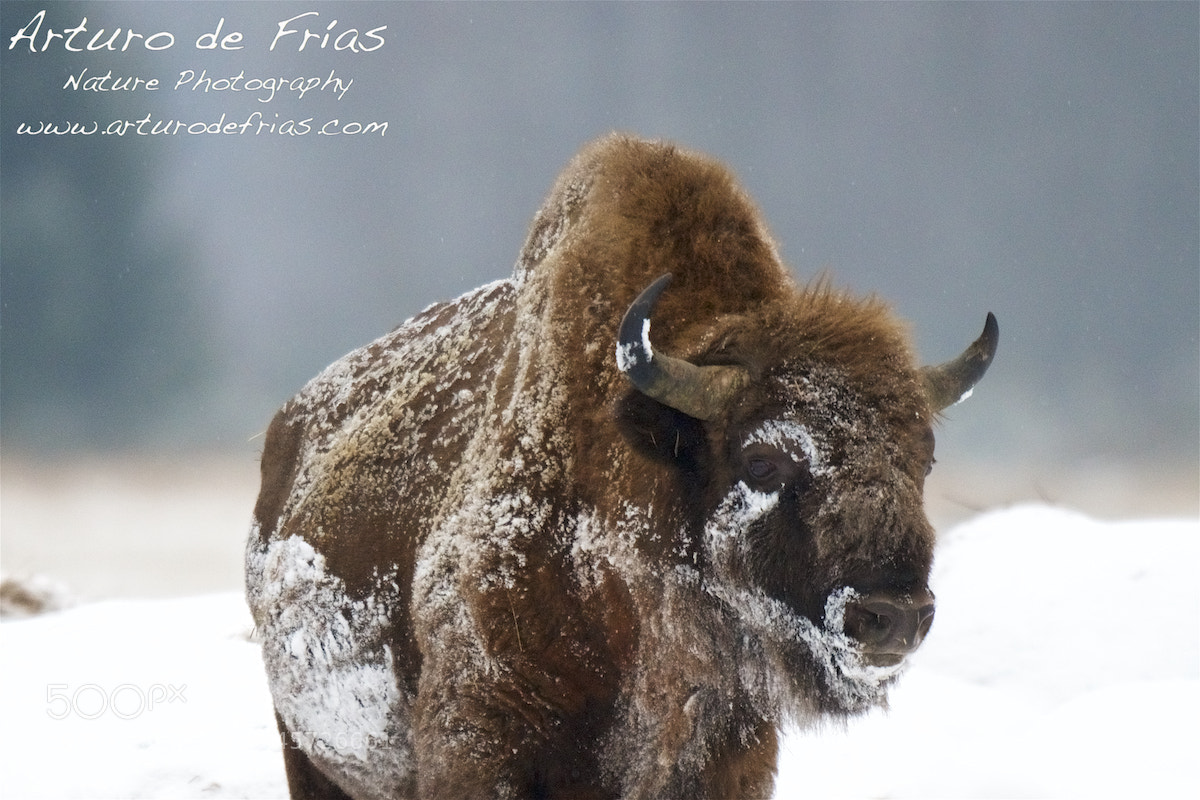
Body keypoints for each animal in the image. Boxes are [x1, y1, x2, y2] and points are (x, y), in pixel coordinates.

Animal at [246, 134, 997, 799]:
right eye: (762, 460)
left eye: (924, 457)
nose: (893, 616)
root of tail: (288, 426)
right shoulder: (480, 738)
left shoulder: (729, 755)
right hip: (306, 752)